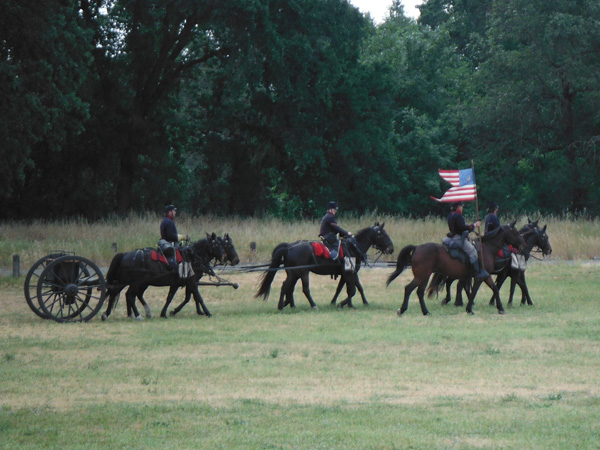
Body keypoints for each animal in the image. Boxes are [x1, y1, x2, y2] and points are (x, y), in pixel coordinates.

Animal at [255, 224, 396, 312]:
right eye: (383, 235)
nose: (391, 248)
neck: (353, 247)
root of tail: (289, 247)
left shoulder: (349, 273)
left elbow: (351, 288)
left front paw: (354, 303)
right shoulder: (349, 273)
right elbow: (352, 290)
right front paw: (342, 304)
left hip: (294, 274)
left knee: (287, 287)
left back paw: (287, 304)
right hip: (302, 273)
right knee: (302, 289)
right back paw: (310, 305)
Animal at [386, 222, 524, 316]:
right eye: (516, 232)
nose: (523, 245)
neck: (487, 248)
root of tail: (417, 248)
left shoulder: (483, 276)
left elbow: (494, 289)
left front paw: (500, 308)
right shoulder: (480, 276)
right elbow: (474, 292)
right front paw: (469, 309)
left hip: (424, 277)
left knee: (419, 292)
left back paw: (425, 312)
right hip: (421, 276)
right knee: (408, 288)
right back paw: (403, 310)